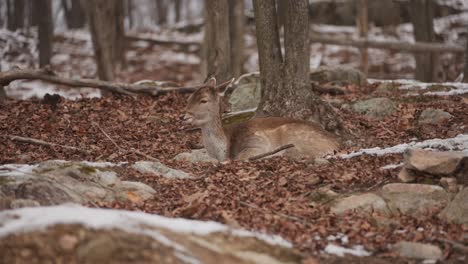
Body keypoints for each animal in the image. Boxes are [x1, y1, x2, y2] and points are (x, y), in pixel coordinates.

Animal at [183, 77, 340, 161]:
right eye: (189, 98)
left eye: (203, 100)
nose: (184, 116)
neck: (224, 148)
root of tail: (337, 144)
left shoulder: (256, 142)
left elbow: (239, 158)